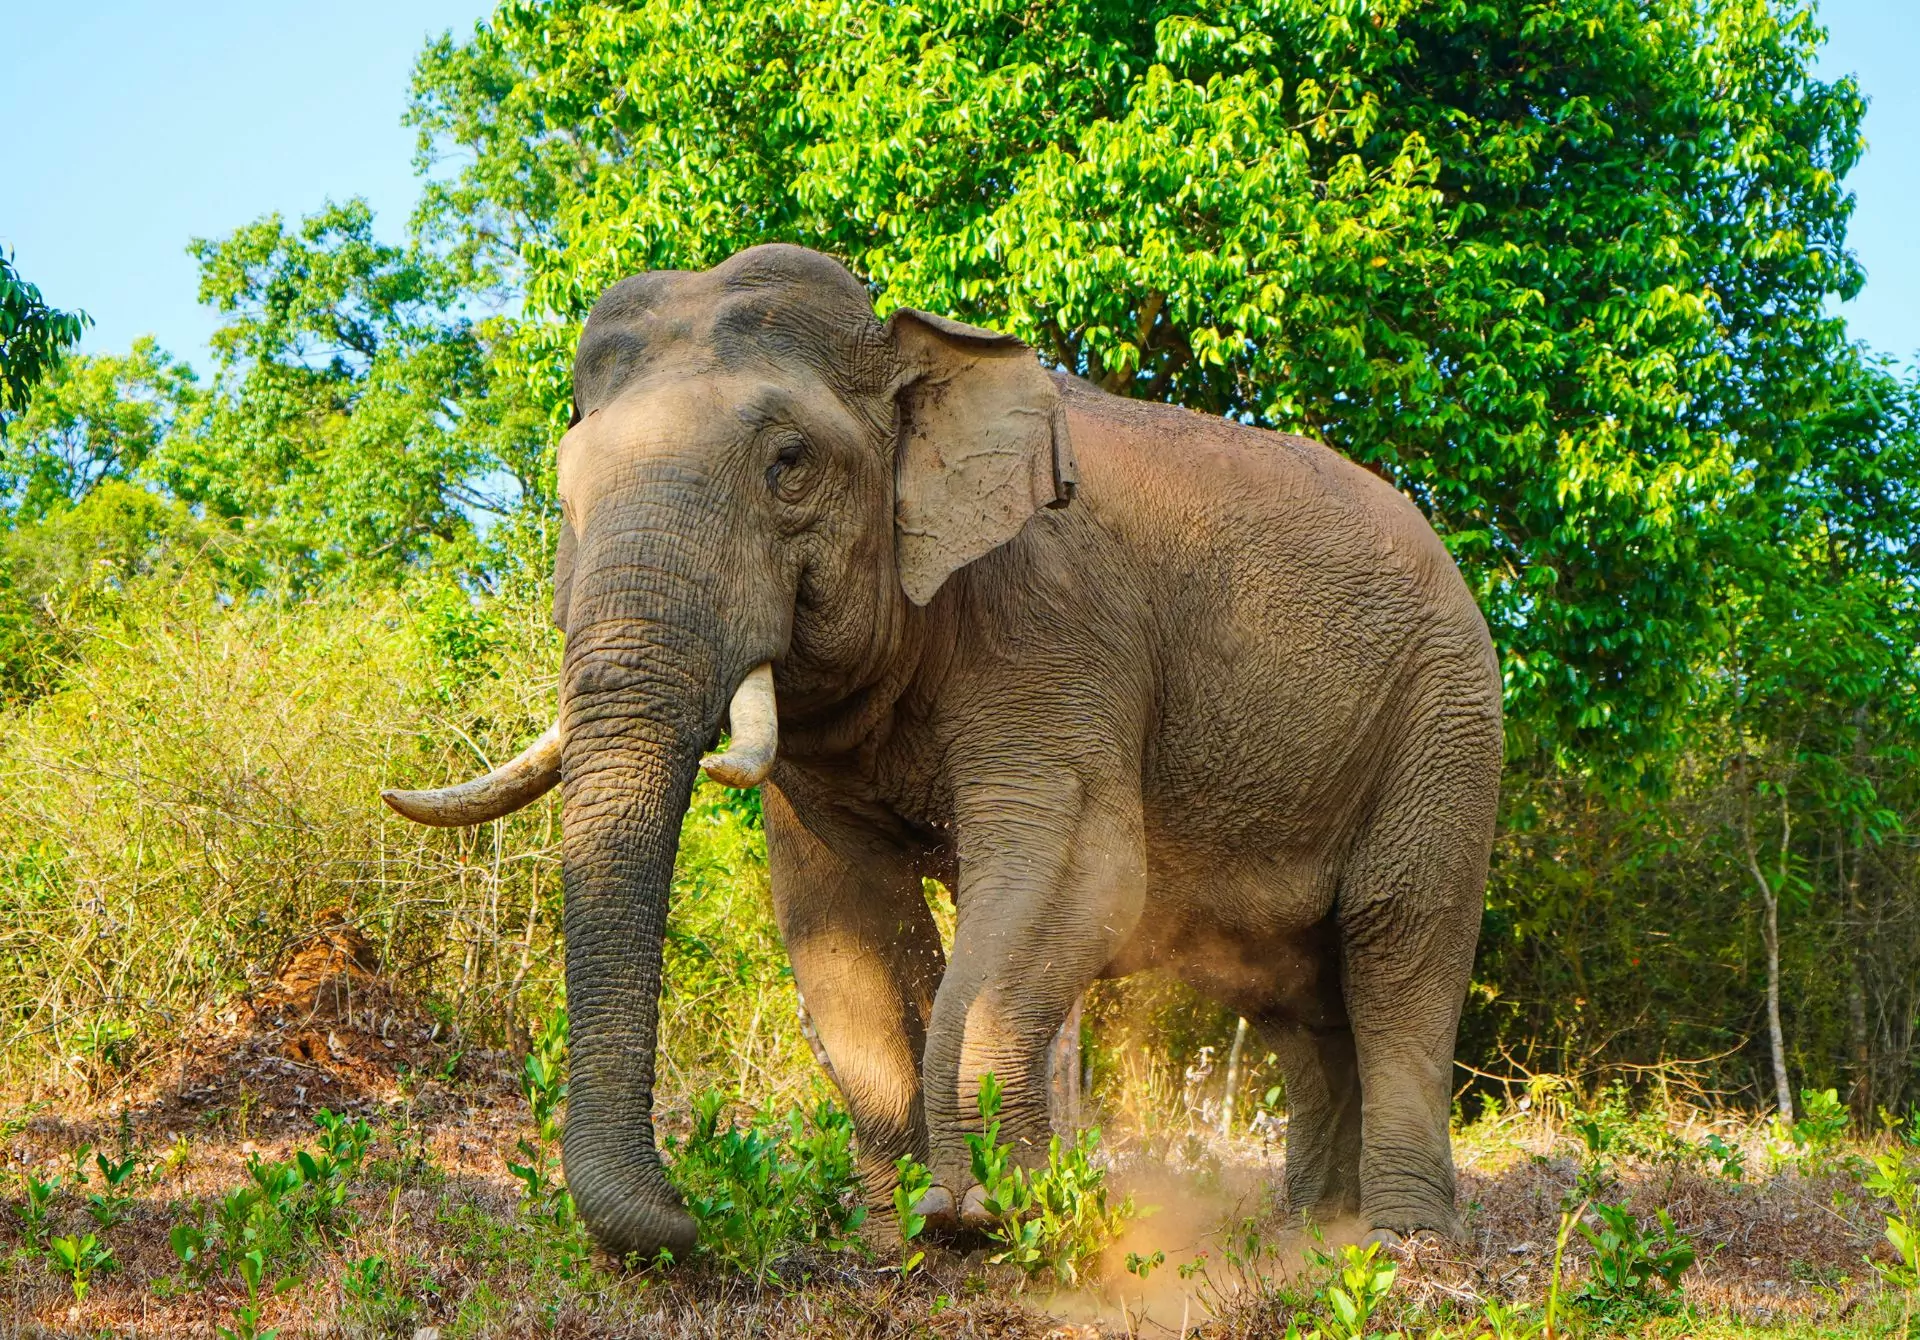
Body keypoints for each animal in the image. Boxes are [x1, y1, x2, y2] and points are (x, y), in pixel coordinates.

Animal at [383, 243, 1502, 1262]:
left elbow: (1078, 878)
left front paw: (992, 1217)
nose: (683, 1219)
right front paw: (899, 1240)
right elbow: (838, 910)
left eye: (789, 465)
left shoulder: (1056, 628)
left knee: (1399, 939)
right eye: (563, 491)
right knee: (1295, 998)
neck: (914, 347)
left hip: (1448, 718)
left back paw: (1399, 1244)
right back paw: (1311, 1233)